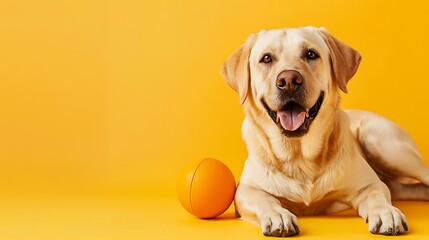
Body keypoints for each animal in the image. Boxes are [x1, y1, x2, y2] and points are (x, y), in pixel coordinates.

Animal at [219, 26, 428, 236]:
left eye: (311, 54)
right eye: (266, 58)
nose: (289, 80)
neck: (299, 157)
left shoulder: (370, 184)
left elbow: (376, 194)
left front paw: (387, 213)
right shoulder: (245, 190)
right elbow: (264, 198)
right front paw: (277, 215)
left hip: (381, 142)